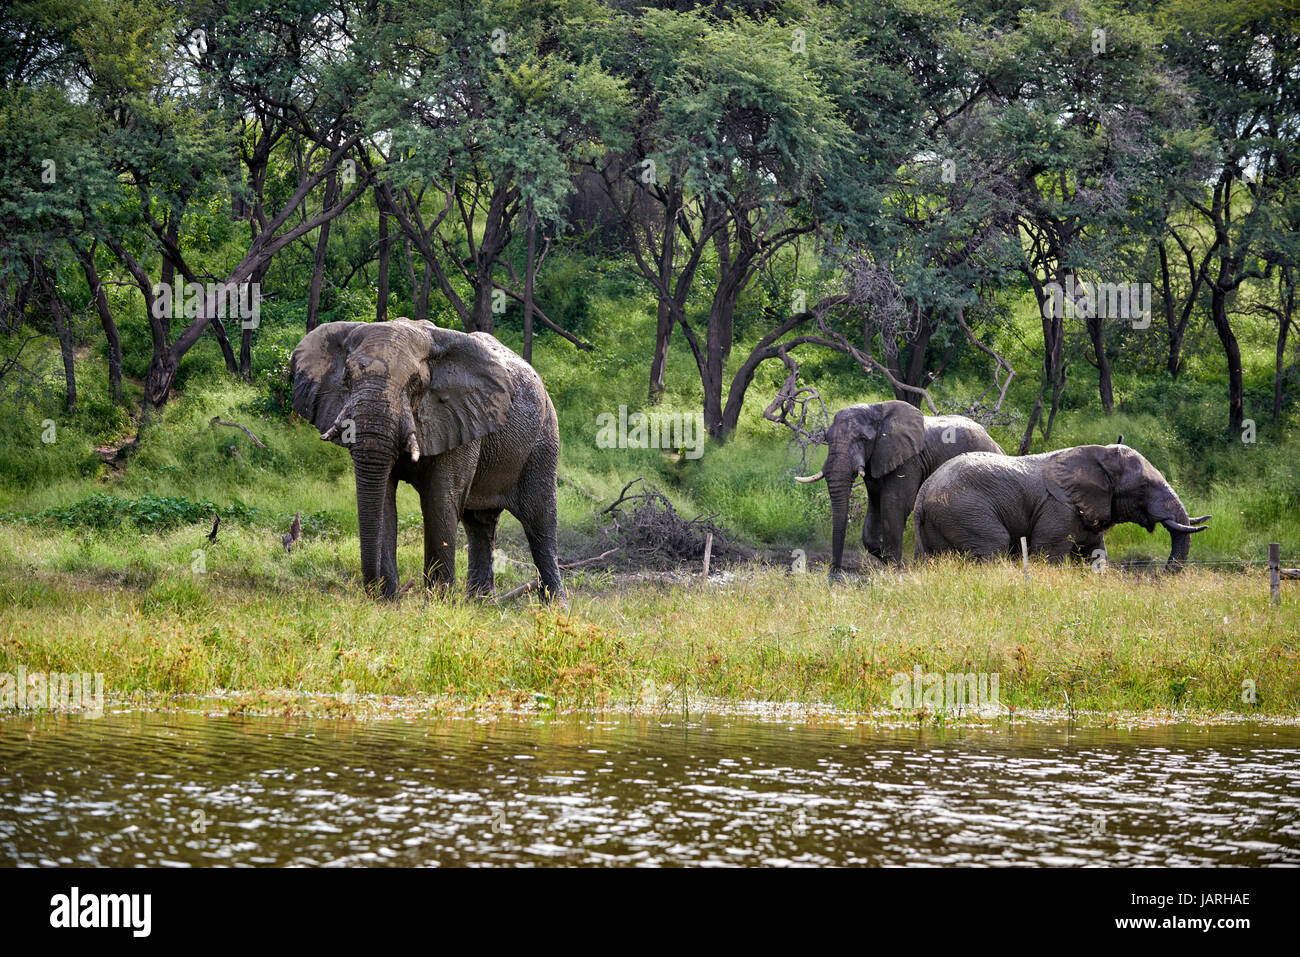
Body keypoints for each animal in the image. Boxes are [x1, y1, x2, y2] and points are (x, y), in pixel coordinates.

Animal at [292, 319, 561, 598]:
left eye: (415, 382)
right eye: (346, 378)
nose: (371, 591)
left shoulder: (460, 418)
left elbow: (439, 502)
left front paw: (436, 601)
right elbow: (385, 502)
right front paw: (387, 601)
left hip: (544, 439)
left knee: (540, 523)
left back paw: (554, 606)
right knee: (480, 524)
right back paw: (480, 603)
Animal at [790, 400, 1003, 572]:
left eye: (863, 439)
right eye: (826, 438)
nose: (834, 572)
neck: (876, 410)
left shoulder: (908, 460)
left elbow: (895, 504)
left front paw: (894, 568)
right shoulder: (876, 459)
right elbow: (875, 505)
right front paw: (886, 557)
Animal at [915, 447, 1206, 572]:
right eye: (1144, 487)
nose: (1159, 575)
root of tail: (922, 494)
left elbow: (1096, 554)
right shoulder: (1058, 510)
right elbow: (1048, 553)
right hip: (964, 511)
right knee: (994, 545)